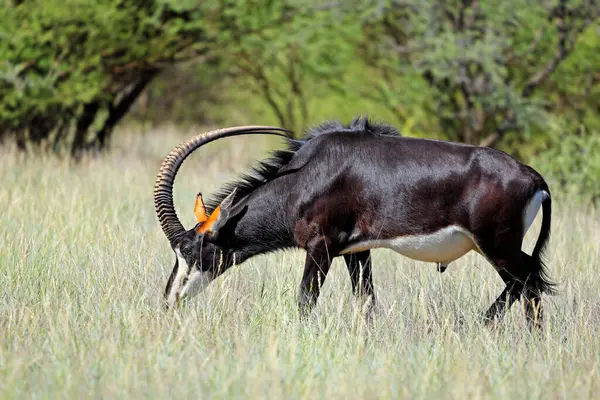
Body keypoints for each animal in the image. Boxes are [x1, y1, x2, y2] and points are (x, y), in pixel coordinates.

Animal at [154, 118, 552, 328]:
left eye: (189, 248)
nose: (169, 302)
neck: (306, 175)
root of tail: (533, 177)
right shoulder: (356, 251)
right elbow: (366, 301)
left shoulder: (321, 246)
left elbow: (305, 299)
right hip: (500, 249)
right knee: (526, 283)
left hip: (496, 246)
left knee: (526, 284)